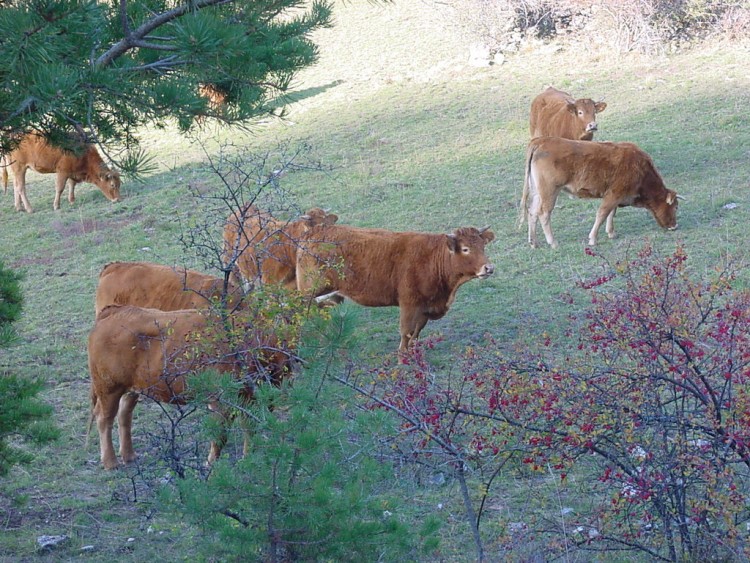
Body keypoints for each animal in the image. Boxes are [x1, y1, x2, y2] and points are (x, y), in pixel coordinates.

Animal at [86, 306, 290, 470]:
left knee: (124, 415)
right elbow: (220, 433)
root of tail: (115, 311)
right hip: (109, 388)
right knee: (104, 419)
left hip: (132, 389)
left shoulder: (250, 400)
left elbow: (250, 428)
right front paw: (210, 463)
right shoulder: (221, 401)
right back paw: (111, 462)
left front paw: (248, 459)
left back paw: (129, 456)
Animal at [296, 224, 496, 348]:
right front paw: (402, 358)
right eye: (465, 249)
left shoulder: (424, 308)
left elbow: (416, 332)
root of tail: (312, 233)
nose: (489, 268)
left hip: (332, 293)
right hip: (310, 291)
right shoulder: (409, 304)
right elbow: (406, 331)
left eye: (483, 247)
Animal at [524, 137, 680, 249]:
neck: (641, 169)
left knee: (532, 212)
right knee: (544, 214)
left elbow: (611, 213)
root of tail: (541, 141)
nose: (674, 226)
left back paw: (534, 243)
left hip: (538, 193)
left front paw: (611, 232)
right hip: (550, 192)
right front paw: (593, 239)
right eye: (675, 207)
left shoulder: (616, 196)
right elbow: (602, 213)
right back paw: (553, 242)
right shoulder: (613, 195)